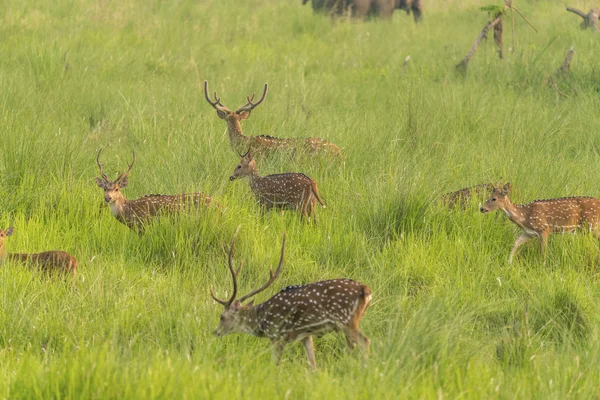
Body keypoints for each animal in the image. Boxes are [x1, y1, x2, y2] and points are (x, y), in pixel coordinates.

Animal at [211, 227, 370, 370]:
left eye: (221, 317)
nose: (215, 332)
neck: (262, 320)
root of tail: (366, 290)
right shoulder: (306, 335)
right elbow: (312, 364)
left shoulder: (277, 335)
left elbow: (275, 364)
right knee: (352, 344)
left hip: (345, 319)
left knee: (364, 341)